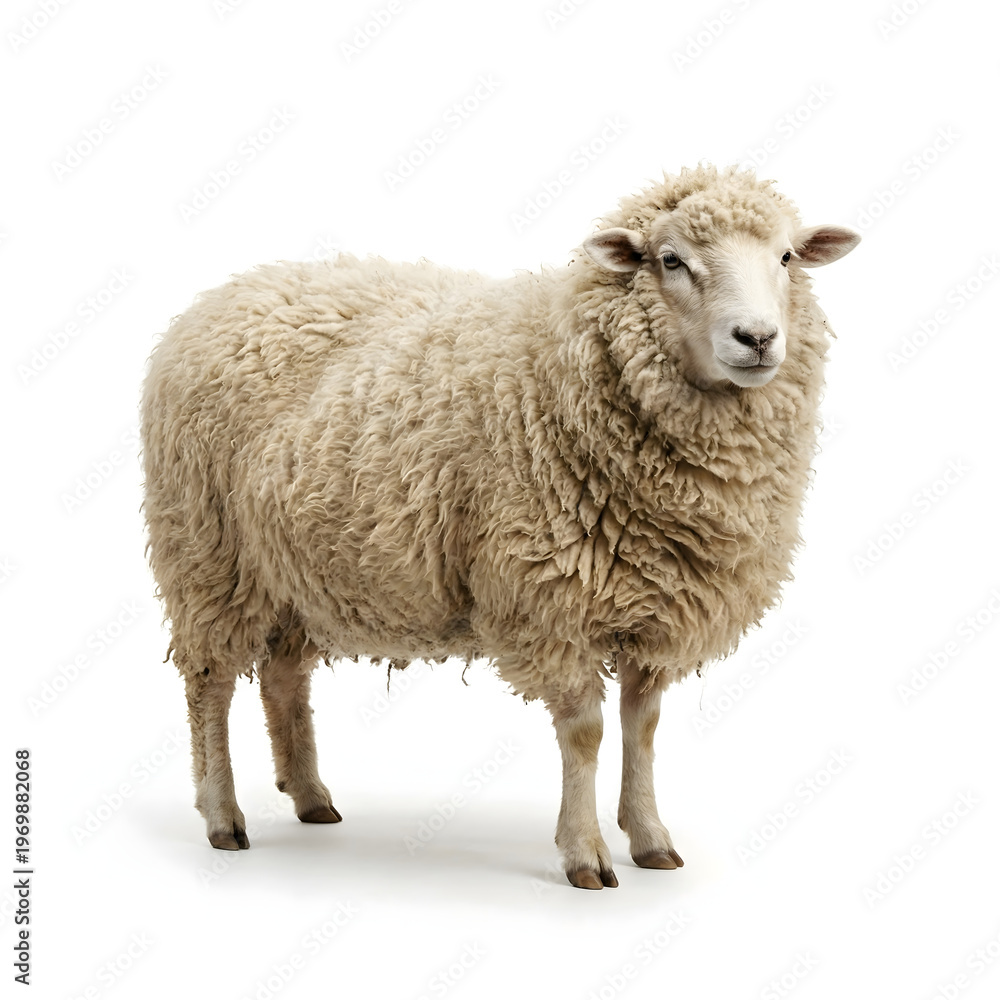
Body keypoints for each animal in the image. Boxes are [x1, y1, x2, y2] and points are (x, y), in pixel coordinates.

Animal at [140, 164, 859, 889]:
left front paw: (650, 838)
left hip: (295, 569)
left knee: (285, 676)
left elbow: (644, 726)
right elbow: (585, 732)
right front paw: (585, 854)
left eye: (787, 257)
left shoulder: (657, 604)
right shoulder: (552, 600)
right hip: (206, 554)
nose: (757, 339)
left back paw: (312, 797)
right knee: (210, 684)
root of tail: (219, 296)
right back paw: (223, 817)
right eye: (670, 260)